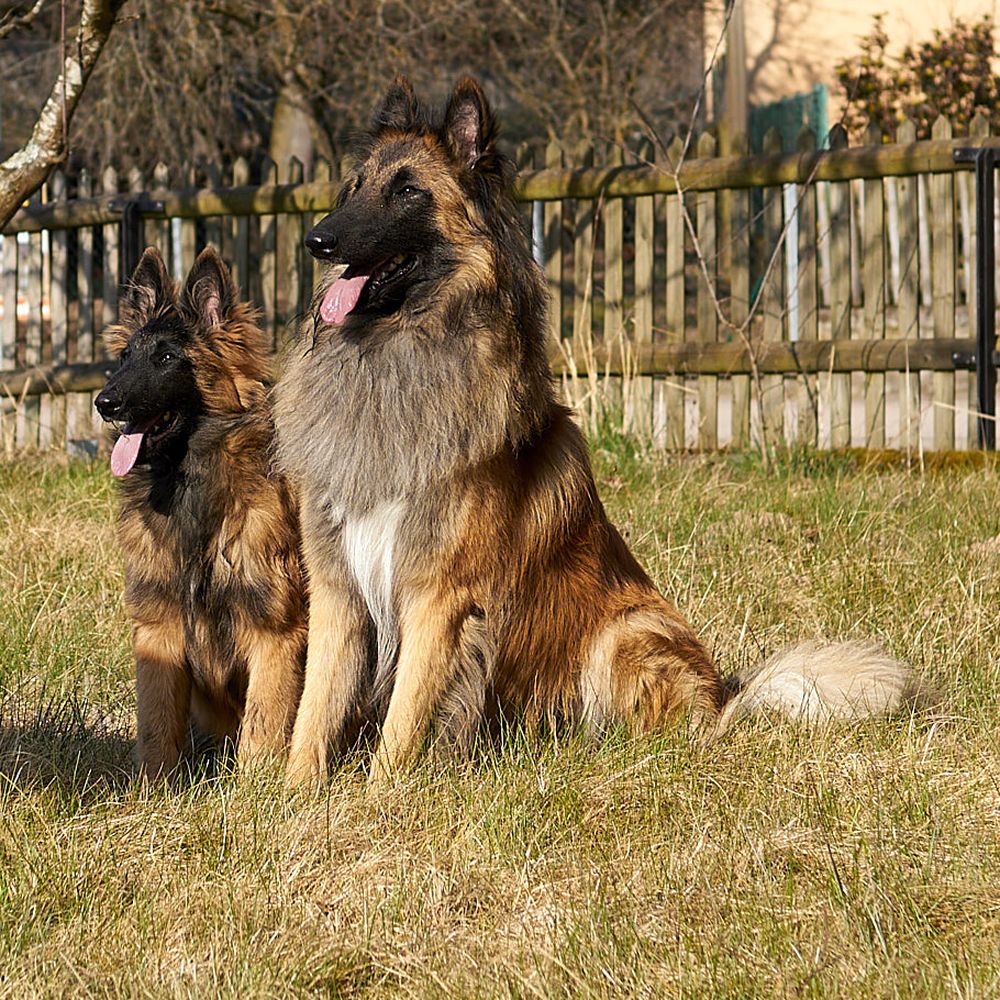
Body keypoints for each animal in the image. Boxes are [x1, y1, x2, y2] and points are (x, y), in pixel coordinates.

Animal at [272, 76, 920, 780]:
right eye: (355, 186)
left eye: (408, 190)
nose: (316, 241)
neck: (395, 351)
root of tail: (725, 694)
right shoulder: (338, 587)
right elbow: (313, 712)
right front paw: (294, 792)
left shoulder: (440, 597)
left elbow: (403, 722)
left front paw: (380, 794)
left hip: (626, 631)